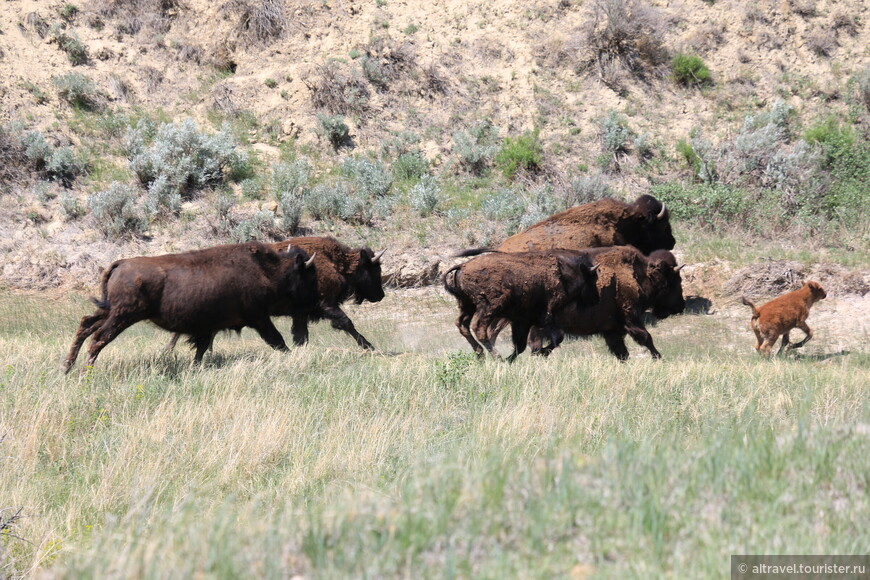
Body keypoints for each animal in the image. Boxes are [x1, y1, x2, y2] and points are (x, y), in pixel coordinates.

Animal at [62, 244, 320, 372]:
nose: (317, 302)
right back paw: (85, 373)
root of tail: (121, 263)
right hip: (122, 316)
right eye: (308, 276)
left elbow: (201, 348)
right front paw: (291, 356)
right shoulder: (259, 317)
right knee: (98, 337)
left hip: (110, 311)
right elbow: (277, 340)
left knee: (85, 325)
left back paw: (67, 367)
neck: (267, 270)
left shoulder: (209, 327)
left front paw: (196, 368)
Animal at [442, 250, 600, 362]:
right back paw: (497, 357)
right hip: (488, 308)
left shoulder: (522, 321)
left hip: (467, 306)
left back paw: (481, 354)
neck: (563, 274)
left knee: (462, 324)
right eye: (592, 278)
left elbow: (521, 345)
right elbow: (557, 337)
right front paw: (542, 353)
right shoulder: (547, 315)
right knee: (479, 328)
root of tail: (462, 266)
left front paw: (512, 359)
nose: (596, 299)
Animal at [524, 245, 688, 358]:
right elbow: (646, 337)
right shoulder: (631, 318)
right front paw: (658, 357)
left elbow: (622, 352)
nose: (680, 306)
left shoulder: (612, 329)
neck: (640, 276)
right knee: (540, 343)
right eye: (673, 282)